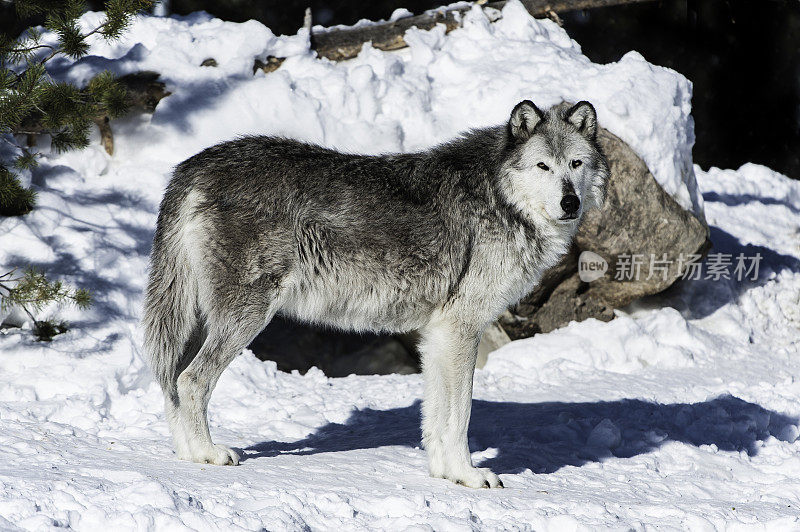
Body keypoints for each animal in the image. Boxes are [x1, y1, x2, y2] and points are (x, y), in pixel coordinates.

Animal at [142, 100, 608, 490]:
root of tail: (192, 166)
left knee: (172, 378)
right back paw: (207, 454)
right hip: (246, 318)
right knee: (191, 379)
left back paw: (186, 454)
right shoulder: (462, 331)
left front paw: (446, 474)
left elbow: (437, 416)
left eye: (576, 163)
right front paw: (470, 476)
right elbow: (461, 414)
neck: (500, 197)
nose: (570, 202)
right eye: (543, 166)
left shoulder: (439, 335)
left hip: (200, 320)